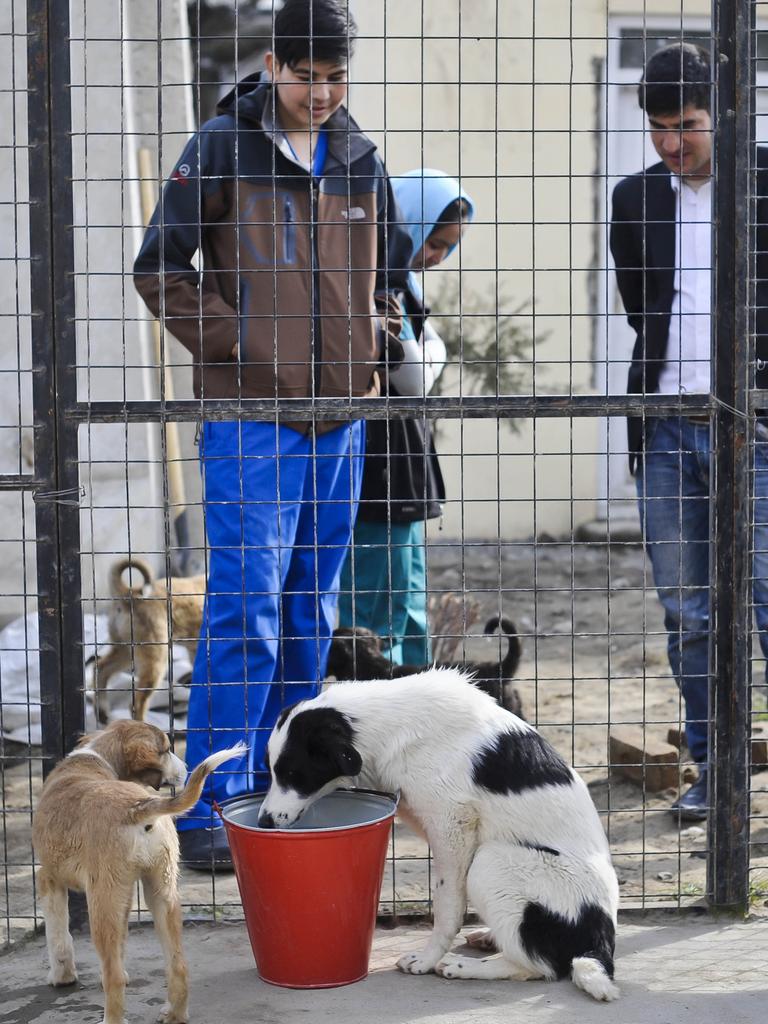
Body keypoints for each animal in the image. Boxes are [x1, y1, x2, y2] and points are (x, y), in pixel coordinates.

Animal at [31, 720, 243, 1024]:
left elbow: (58, 936)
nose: (186, 767)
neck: (97, 757)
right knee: (178, 964)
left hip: (102, 902)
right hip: (161, 892)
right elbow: (120, 942)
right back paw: (175, 1013)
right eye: (166, 750)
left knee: (113, 976)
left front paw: (61, 977)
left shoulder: (48, 877)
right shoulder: (126, 893)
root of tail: (136, 807)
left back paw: (112, 1019)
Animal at [92, 561, 205, 720]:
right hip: (155, 659)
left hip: (127, 650)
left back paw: (102, 712)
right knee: (137, 703)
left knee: (100, 667)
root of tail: (130, 593)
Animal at [262, 671, 622, 999]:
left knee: (541, 965)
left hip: (492, 862)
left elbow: (447, 907)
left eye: (293, 773)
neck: (391, 724)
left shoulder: (452, 823)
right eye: (272, 771)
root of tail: (601, 937)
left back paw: (466, 967)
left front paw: (426, 959)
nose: (264, 821)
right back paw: (489, 938)